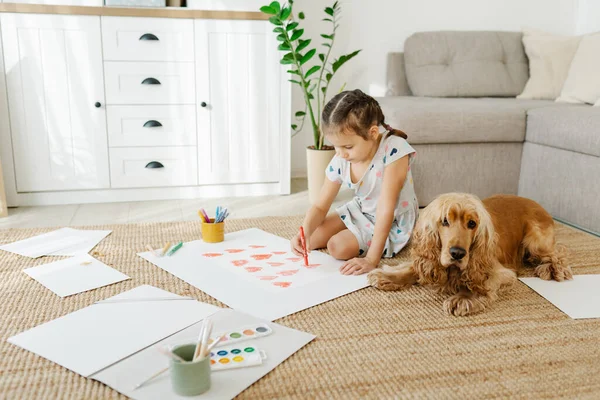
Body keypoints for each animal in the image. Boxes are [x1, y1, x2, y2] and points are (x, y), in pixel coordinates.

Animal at [366, 192, 572, 318]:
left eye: (472, 224)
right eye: (445, 221)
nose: (457, 253)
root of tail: (536, 203)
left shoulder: (501, 271)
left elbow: (482, 281)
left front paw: (465, 297)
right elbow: (413, 268)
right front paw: (387, 276)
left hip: (535, 240)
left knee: (558, 254)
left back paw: (552, 270)